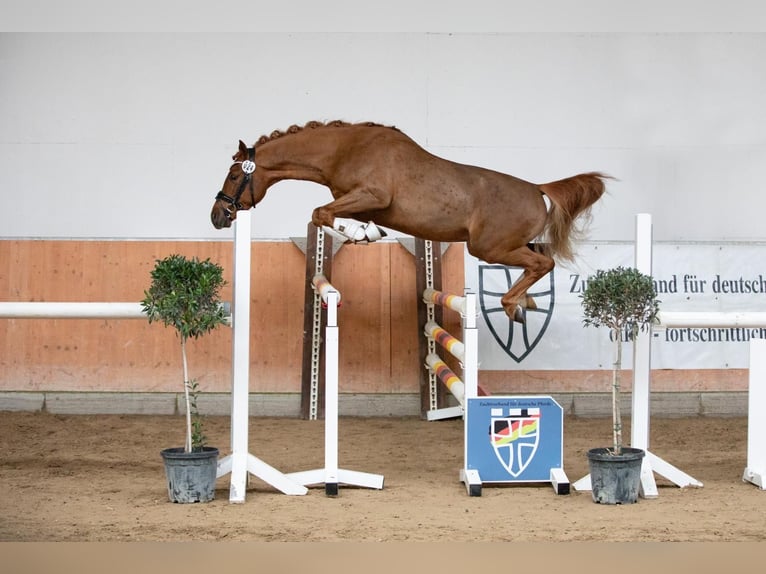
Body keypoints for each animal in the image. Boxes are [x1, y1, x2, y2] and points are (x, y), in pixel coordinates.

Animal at [212, 120, 612, 324]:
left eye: (233, 175)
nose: (217, 216)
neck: (344, 149)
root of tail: (538, 189)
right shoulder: (362, 203)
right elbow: (329, 214)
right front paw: (366, 233)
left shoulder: (373, 196)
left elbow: (320, 212)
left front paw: (360, 234)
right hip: (507, 245)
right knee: (541, 256)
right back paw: (524, 302)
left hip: (488, 247)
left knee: (542, 263)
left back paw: (513, 305)